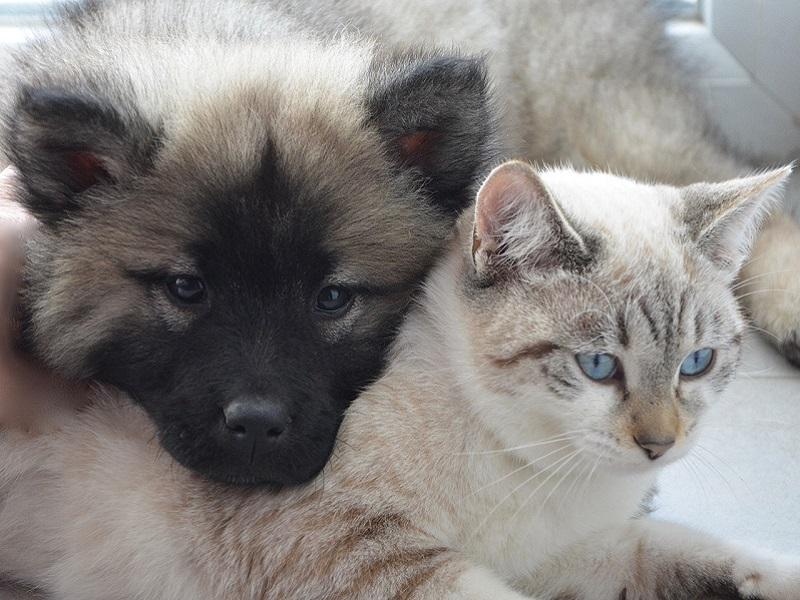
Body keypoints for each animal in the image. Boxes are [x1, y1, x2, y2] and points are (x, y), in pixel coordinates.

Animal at [0, 161, 792, 600]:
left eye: (697, 363)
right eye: (599, 366)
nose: (660, 446)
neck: (530, 470)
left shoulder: (563, 556)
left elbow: (686, 552)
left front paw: (772, 574)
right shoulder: (342, 544)